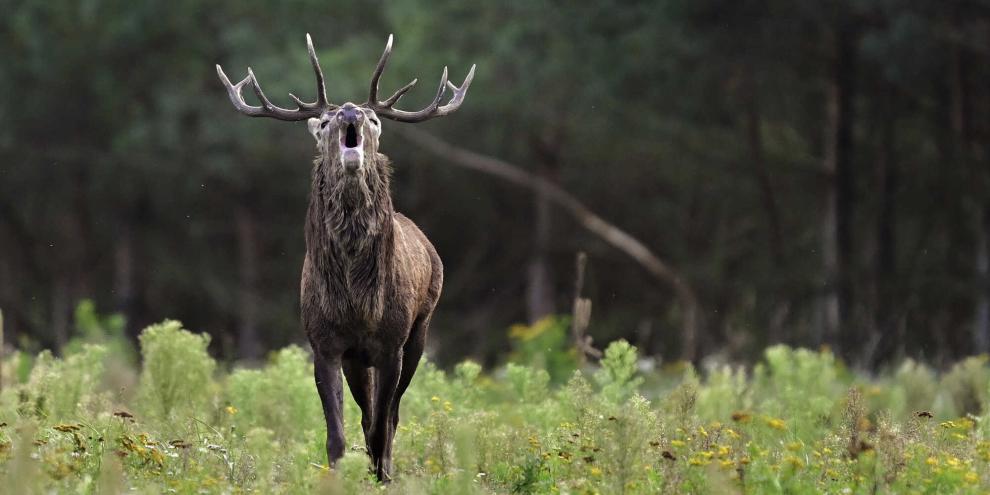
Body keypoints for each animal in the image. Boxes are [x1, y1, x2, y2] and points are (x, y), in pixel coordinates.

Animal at [216, 34, 474, 482]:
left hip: (420, 330)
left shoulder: (391, 343)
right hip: (358, 359)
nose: (350, 111)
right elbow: (337, 433)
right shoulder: (325, 344)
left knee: (390, 415)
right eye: (324, 122)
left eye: (374, 120)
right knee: (366, 411)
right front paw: (340, 474)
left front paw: (383, 473)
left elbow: (383, 425)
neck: (357, 302)